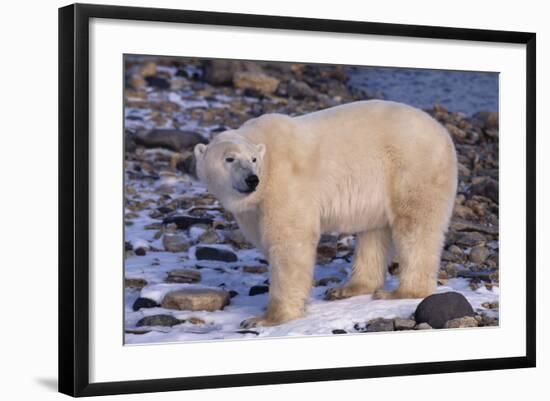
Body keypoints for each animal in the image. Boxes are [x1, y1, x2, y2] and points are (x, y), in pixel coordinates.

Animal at [195, 98, 462, 326]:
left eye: (252, 160)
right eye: (229, 159)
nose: (252, 179)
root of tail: (442, 131)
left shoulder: (286, 183)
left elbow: (290, 241)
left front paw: (267, 318)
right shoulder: (254, 207)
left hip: (412, 168)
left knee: (415, 226)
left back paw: (400, 292)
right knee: (373, 233)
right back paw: (347, 288)